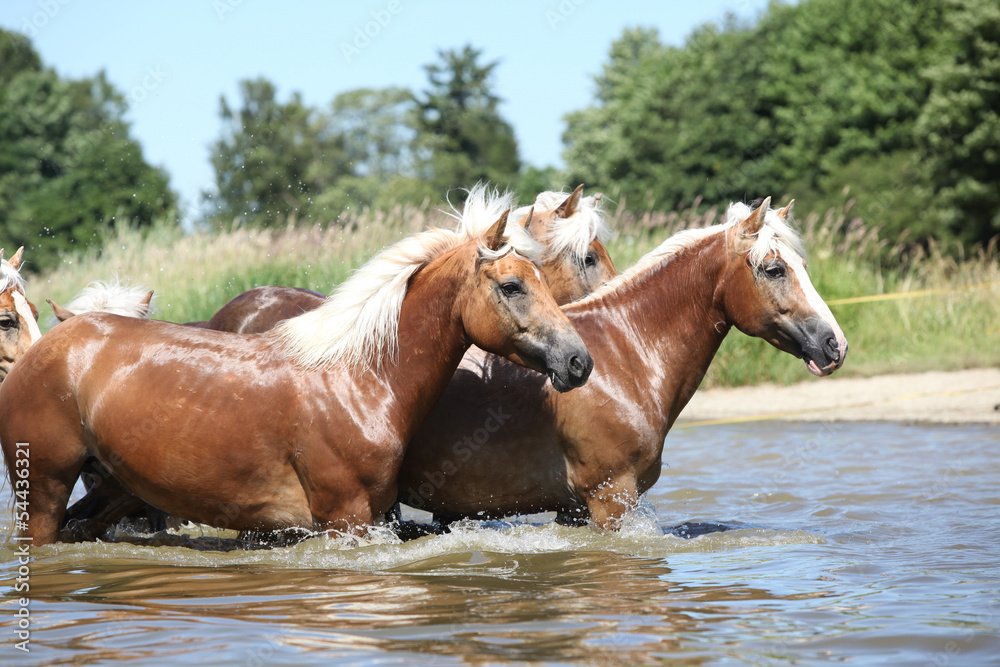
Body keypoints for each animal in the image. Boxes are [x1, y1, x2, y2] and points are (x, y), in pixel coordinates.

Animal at [395, 197, 849, 530]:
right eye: (774, 269)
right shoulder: (610, 500)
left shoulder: (574, 510)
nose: (835, 344)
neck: (626, 353)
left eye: (802, 266)